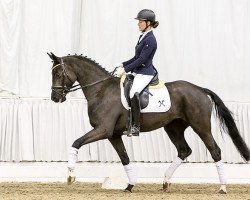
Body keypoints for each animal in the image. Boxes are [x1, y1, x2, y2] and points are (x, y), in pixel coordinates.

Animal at [47, 52, 249, 193]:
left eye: (58, 72)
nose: (55, 98)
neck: (101, 90)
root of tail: (200, 89)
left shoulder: (103, 130)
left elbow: (76, 142)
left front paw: (70, 175)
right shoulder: (113, 134)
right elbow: (124, 158)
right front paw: (130, 185)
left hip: (201, 127)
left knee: (215, 150)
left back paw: (222, 187)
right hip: (173, 128)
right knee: (184, 150)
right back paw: (165, 182)